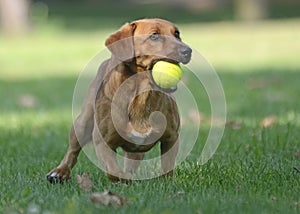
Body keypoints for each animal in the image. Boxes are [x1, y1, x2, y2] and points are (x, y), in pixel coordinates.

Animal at [47, 18, 192, 182]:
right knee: (72, 151)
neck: (142, 96)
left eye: (177, 34)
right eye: (154, 35)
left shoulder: (171, 137)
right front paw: (122, 180)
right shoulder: (102, 142)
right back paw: (59, 172)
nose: (188, 51)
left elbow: (167, 167)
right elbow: (113, 170)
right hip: (82, 123)